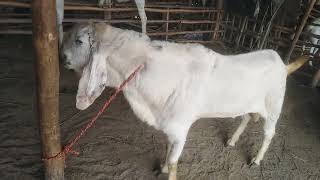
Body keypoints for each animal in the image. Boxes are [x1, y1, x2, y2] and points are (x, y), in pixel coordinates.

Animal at [61, 22, 306, 180]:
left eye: (79, 40)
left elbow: (173, 161)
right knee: (245, 117)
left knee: (269, 134)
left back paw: (256, 159)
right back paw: (232, 141)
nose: (62, 57)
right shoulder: (169, 128)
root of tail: (282, 63)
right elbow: (167, 149)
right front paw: (160, 168)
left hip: (273, 108)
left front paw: (166, 169)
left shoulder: (180, 129)